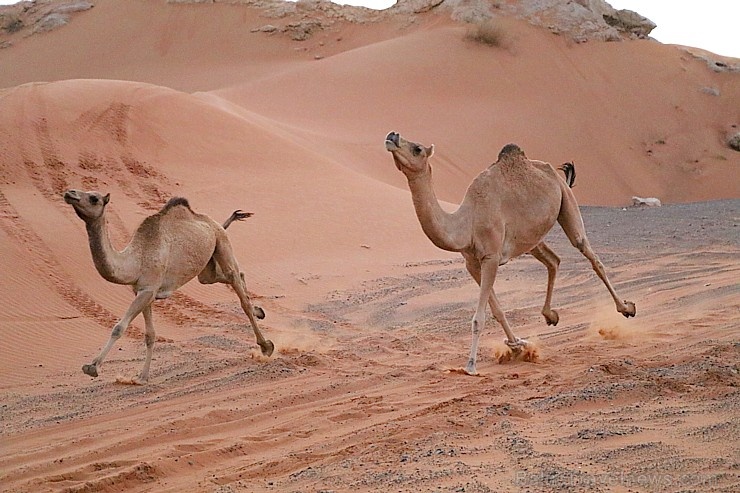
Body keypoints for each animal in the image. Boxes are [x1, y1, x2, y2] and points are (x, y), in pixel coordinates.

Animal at [63, 189, 274, 384]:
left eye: (94, 198)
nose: (69, 193)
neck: (136, 260)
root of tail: (210, 221)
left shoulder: (148, 290)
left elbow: (119, 327)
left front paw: (92, 367)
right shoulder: (142, 291)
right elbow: (150, 334)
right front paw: (142, 377)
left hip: (221, 242)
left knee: (236, 284)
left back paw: (265, 345)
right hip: (206, 268)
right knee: (229, 276)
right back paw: (259, 311)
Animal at [384, 131, 632, 372]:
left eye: (417, 148)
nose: (392, 135)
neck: (468, 222)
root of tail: (552, 171)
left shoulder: (491, 257)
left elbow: (479, 318)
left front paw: (471, 365)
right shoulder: (473, 263)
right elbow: (497, 310)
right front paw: (517, 347)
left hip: (566, 203)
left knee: (590, 254)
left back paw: (626, 308)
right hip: (532, 238)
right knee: (554, 260)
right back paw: (550, 315)